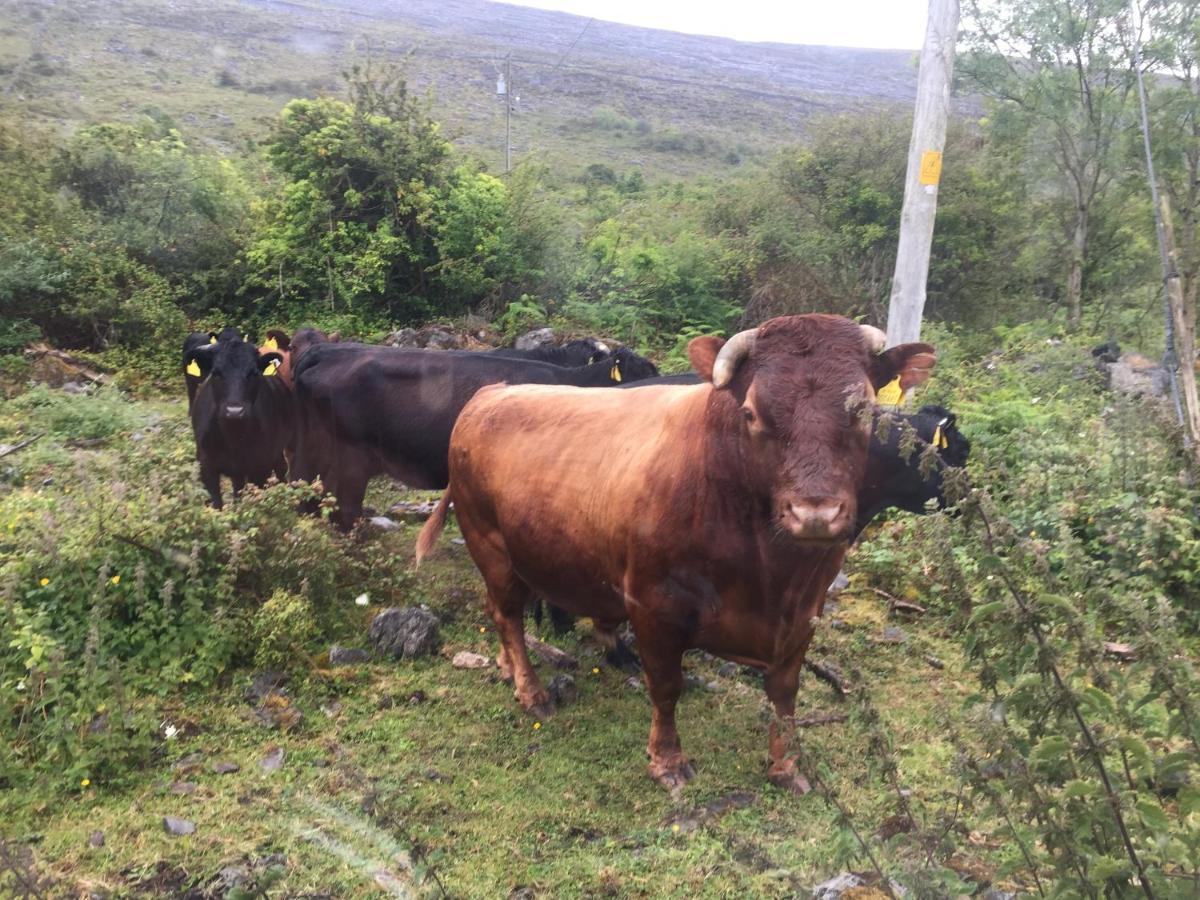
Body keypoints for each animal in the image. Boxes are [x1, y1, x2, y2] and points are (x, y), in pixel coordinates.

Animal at [184, 338, 295, 511]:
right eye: (216, 373)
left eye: (253, 373)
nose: (234, 411)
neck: (233, 437)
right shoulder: (206, 467)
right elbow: (217, 503)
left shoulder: (260, 466)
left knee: (282, 469)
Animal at [420, 316, 936, 796]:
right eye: (751, 412)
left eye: (864, 409)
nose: (815, 512)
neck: (770, 570)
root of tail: (492, 393)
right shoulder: (655, 607)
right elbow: (667, 687)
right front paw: (667, 761)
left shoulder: (804, 613)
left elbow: (785, 695)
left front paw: (786, 766)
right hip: (490, 545)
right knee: (508, 615)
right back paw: (531, 690)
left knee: (503, 614)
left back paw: (508, 666)